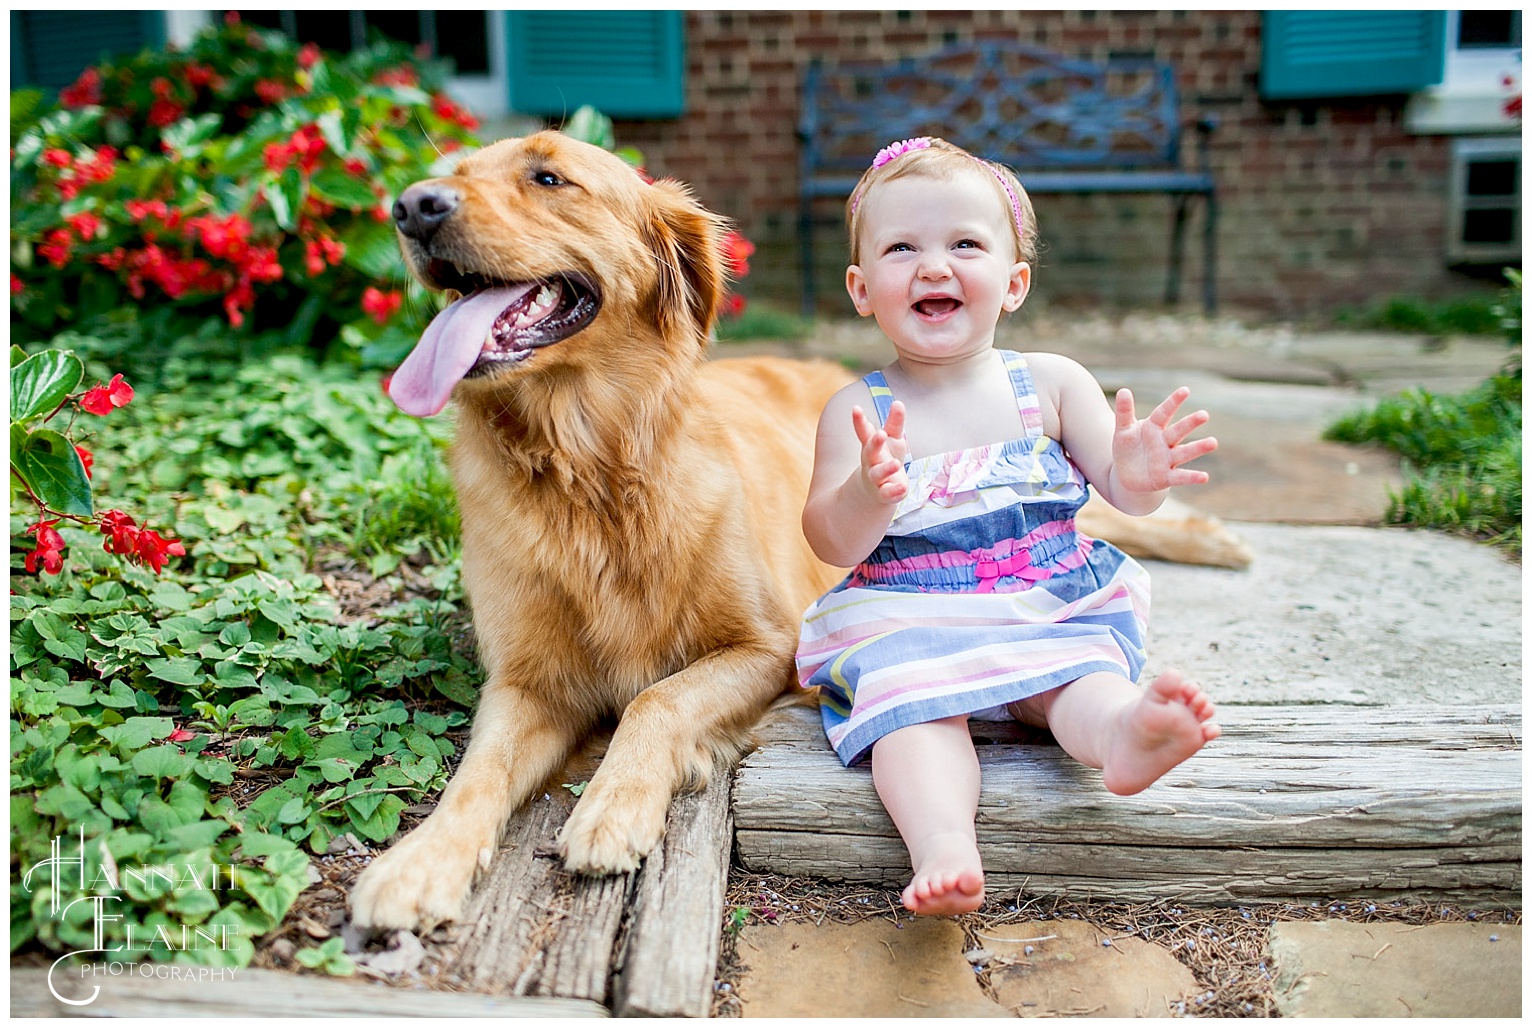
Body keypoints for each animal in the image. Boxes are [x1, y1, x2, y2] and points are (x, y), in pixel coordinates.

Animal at [349, 132, 851, 931]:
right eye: (452, 173)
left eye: (549, 177)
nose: (411, 207)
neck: (589, 471)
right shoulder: (526, 681)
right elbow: (477, 769)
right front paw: (421, 859)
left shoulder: (771, 646)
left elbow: (657, 698)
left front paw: (613, 808)